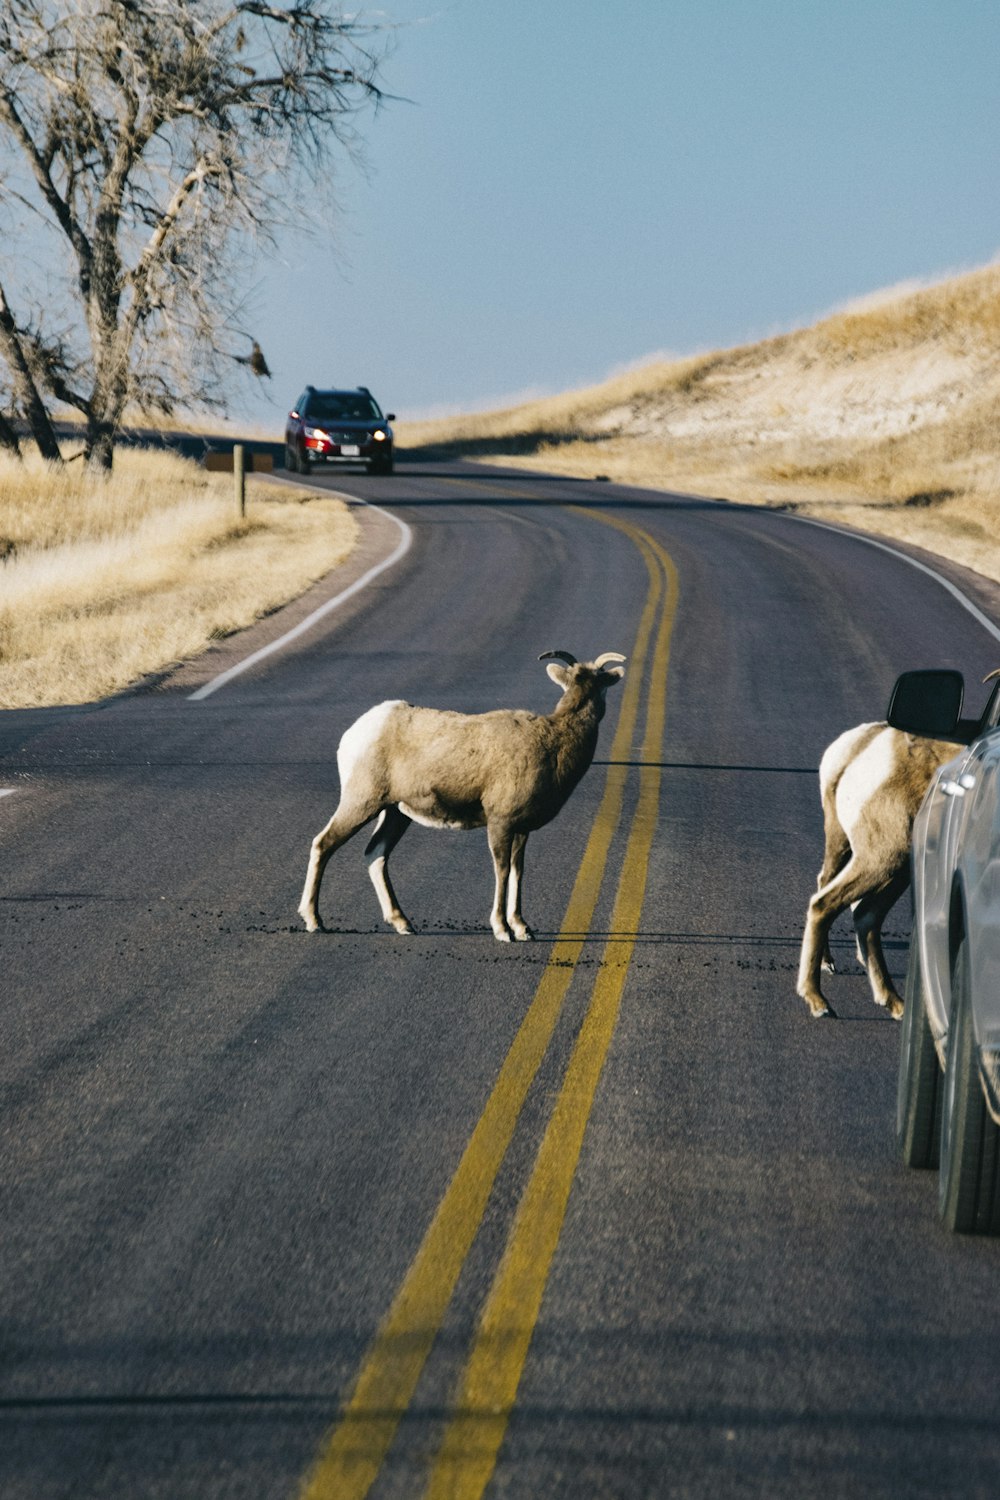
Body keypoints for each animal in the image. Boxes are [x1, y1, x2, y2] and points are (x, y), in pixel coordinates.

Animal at [296, 648, 626, 936]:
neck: (553, 742)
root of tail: (358, 731)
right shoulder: (500, 824)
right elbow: (502, 871)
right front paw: (502, 930)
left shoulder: (521, 829)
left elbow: (518, 871)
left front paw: (522, 928)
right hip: (362, 803)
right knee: (323, 844)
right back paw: (314, 921)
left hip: (395, 813)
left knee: (376, 854)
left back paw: (403, 923)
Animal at [803, 723, 959, 1020]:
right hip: (883, 859)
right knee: (826, 904)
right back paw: (819, 1002)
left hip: (879, 860)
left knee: (861, 911)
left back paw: (892, 1002)